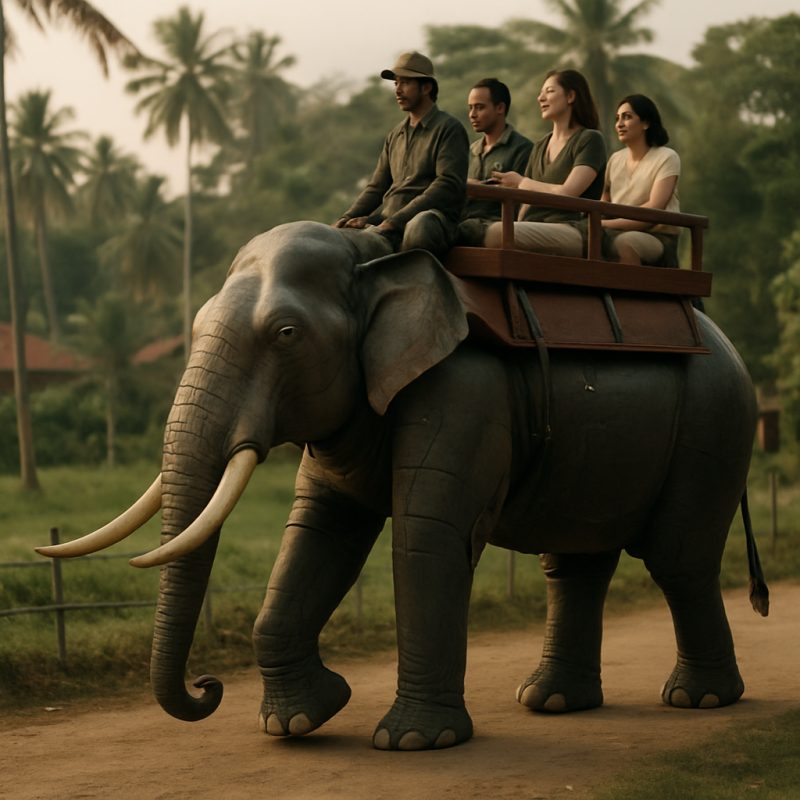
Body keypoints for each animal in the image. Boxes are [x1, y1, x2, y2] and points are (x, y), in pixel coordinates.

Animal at [39, 220, 762, 751]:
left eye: (286, 333)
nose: (208, 686)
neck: (375, 259)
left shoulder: (463, 387)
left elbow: (425, 536)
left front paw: (414, 741)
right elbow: (319, 532)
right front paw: (298, 723)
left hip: (715, 422)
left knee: (677, 560)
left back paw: (698, 699)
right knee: (574, 563)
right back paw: (553, 701)